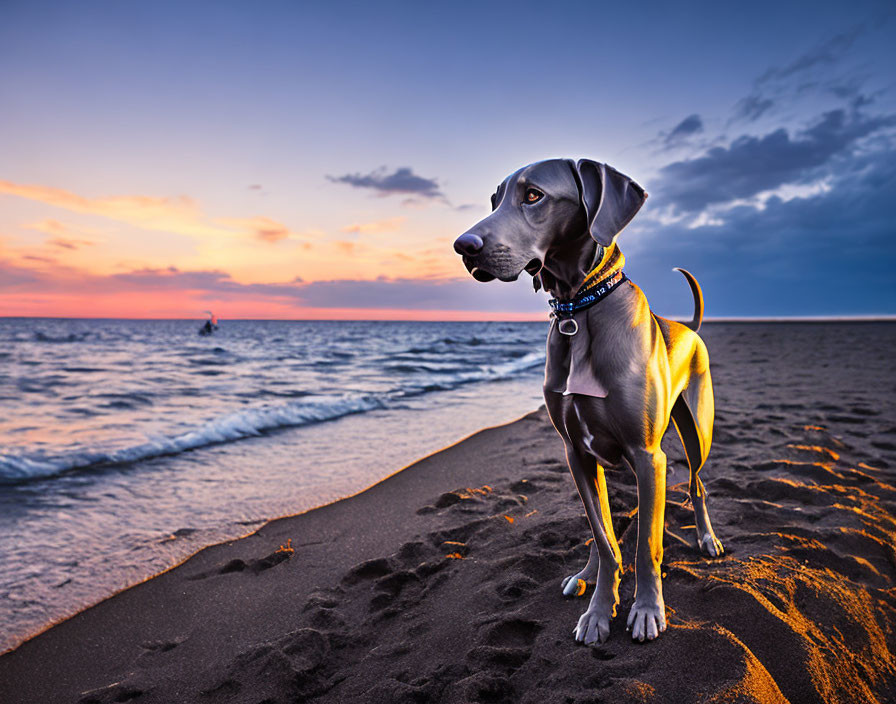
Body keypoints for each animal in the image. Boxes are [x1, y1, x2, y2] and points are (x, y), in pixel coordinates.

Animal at [452, 158, 724, 644]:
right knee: (607, 531)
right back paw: (585, 574)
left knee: (696, 485)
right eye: (494, 200)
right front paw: (599, 611)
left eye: (534, 195)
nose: (464, 246)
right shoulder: (576, 453)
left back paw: (707, 539)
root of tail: (687, 327)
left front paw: (647, 609)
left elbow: (644, 546)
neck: (578, 307)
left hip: (697, 432)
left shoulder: (647, 455)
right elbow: (605, 537)